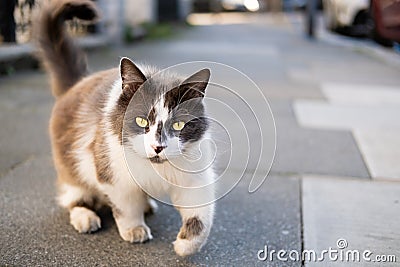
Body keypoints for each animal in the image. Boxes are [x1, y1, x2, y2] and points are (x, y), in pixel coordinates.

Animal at [34, 0, 216, 258]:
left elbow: (200, 216)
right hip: (72, 163)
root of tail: (76, 84)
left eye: (178, 124)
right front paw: (134, 230)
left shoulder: (195, 178)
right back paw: (85, 217)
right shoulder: (112, 171)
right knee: (73, 196)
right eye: (141, 121)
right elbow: (126, 205)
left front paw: (185, 245)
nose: (158, 147)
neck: (155, 168)